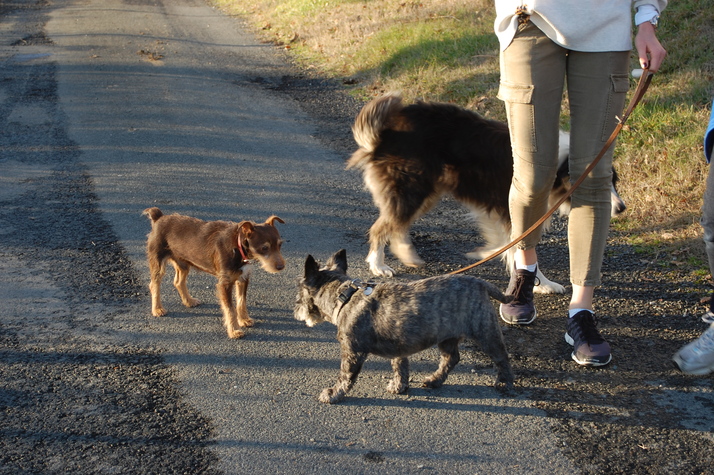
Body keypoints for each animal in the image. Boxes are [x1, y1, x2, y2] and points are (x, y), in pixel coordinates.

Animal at [143, 207, 286, 338]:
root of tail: (159, 218)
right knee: (154, 284)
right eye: (264, 248)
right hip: (158, 261)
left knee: (178, 282)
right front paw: (234, 330)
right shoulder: (225, 284)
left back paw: (189, 301)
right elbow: (230, 309)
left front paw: (244, 320)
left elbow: (241, 301)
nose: (281, 267)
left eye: (280, 245)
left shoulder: (243, 278)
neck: (238, 247)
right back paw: (157, 309)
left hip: (183, 262)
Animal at [294, 249, 512, 406]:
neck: (346, 298)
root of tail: (481, 283)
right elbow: (400, 366)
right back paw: (434, 380)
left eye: (299, 294)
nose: (296, 310)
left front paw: (333, 394)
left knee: (502, 358)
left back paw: (504, 383)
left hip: (485, 333)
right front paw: (400, 386)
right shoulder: (398, 347)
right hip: (447, 337)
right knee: (451, 358)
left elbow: (345, 376)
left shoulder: (352, 352)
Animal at [348, 92, 624, 294]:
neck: (559, 167)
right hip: (412, 187)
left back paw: (408, 255)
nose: (621, 208)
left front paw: (491, 254)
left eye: (614, 181)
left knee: (396, 224)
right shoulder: (514, 208)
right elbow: (520, 248)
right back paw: (378, 265)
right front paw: (542, 283)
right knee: (382, 227)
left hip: (427, 189)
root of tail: (384, 133)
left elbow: (506, 242)